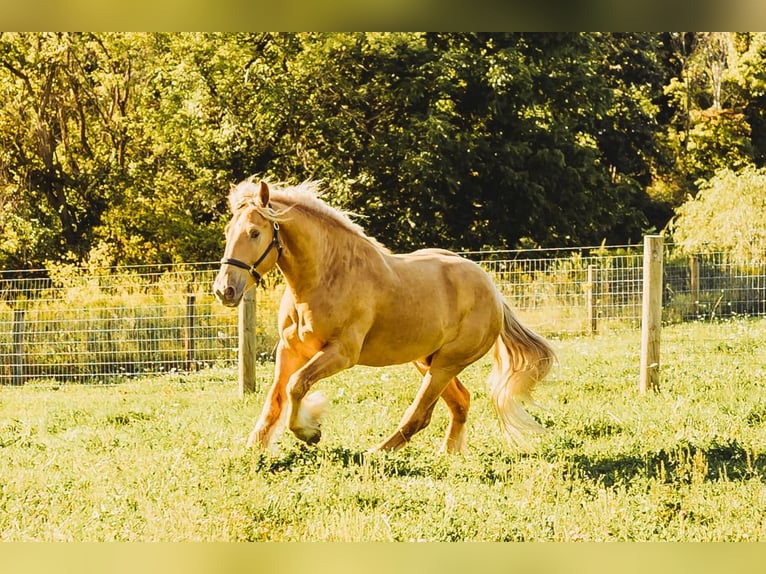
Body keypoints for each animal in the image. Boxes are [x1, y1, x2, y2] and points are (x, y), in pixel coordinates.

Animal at [213, 178, 556, 456]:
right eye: (229, 232)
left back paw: (376, 453)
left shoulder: (341, 353)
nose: (224, 290)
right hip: (426, 360)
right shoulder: (290, 350)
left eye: (254, 233)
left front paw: (310, 432)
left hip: (446, 364)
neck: (325, 277)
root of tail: (493, 291)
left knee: (420, 415)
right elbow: (276, 398)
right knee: (460, 402)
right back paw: (448, 454)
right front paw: (255, 447)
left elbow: (297, 386)